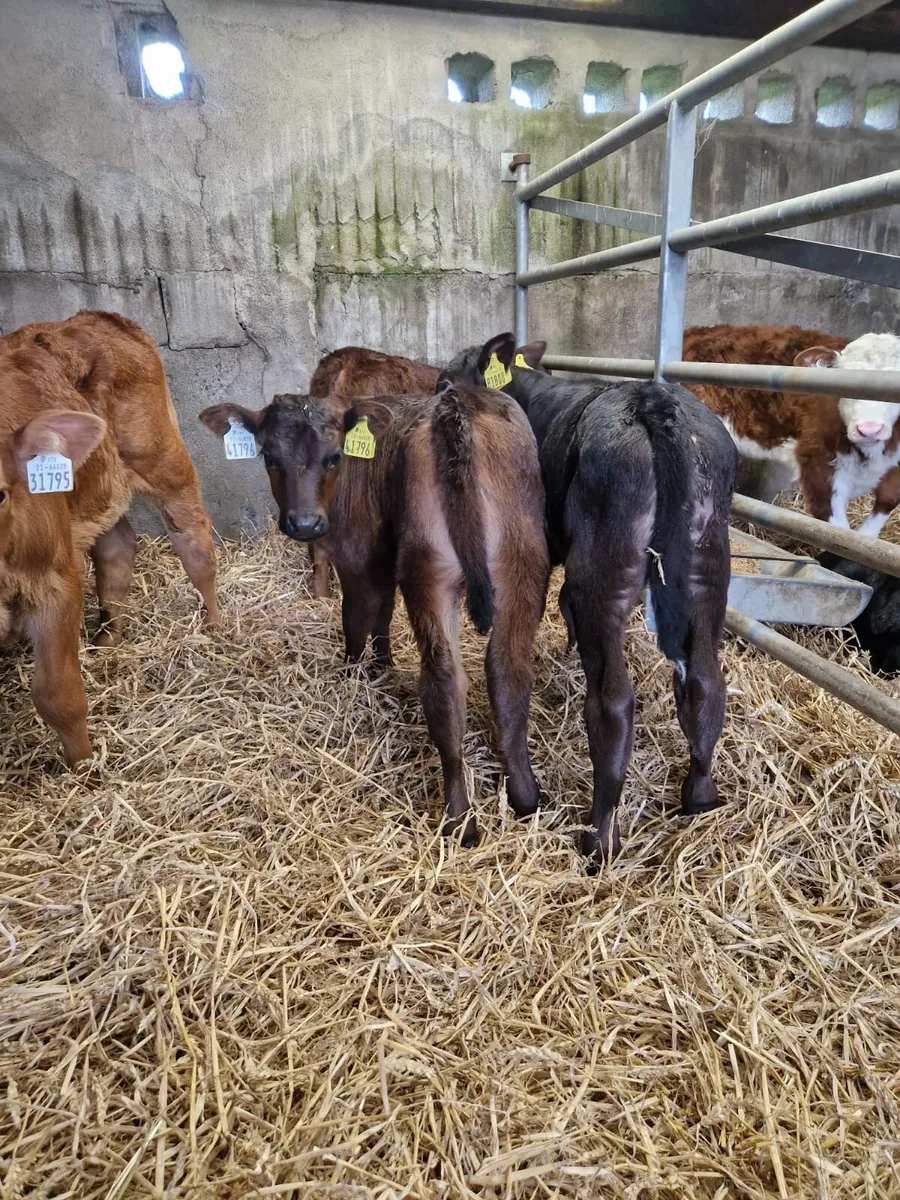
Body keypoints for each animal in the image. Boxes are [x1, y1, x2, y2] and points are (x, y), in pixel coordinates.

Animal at [0, 312, 218, 766]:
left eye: (0, 492)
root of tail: (91, 316)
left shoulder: (54, 579)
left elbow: (57, 696)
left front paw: (86, 769)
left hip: (160, 457)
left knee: (194, 542)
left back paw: (216, 627)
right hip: (100, 487)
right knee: (117, 548)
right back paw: (108, 637)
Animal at [199, 382, 549, 847]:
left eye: (334, 457)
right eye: (269, 457)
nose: (304, 524)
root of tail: (457, 405)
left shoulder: (357, 554)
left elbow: (356, 618)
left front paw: (353, 674)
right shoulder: (384, 558)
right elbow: (383, 612)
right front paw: (383, 667)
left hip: (430, 565)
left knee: (443, 681)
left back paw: (460, 819)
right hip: (522, 561)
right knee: (508, 669)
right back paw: (526, 797)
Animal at [440, 333, 736, 867]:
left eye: (446, 379)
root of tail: (652, 401)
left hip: (602, 573)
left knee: (613, 702)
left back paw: (599, 839)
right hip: (708, 569)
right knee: (705, 681)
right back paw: (699, 798)